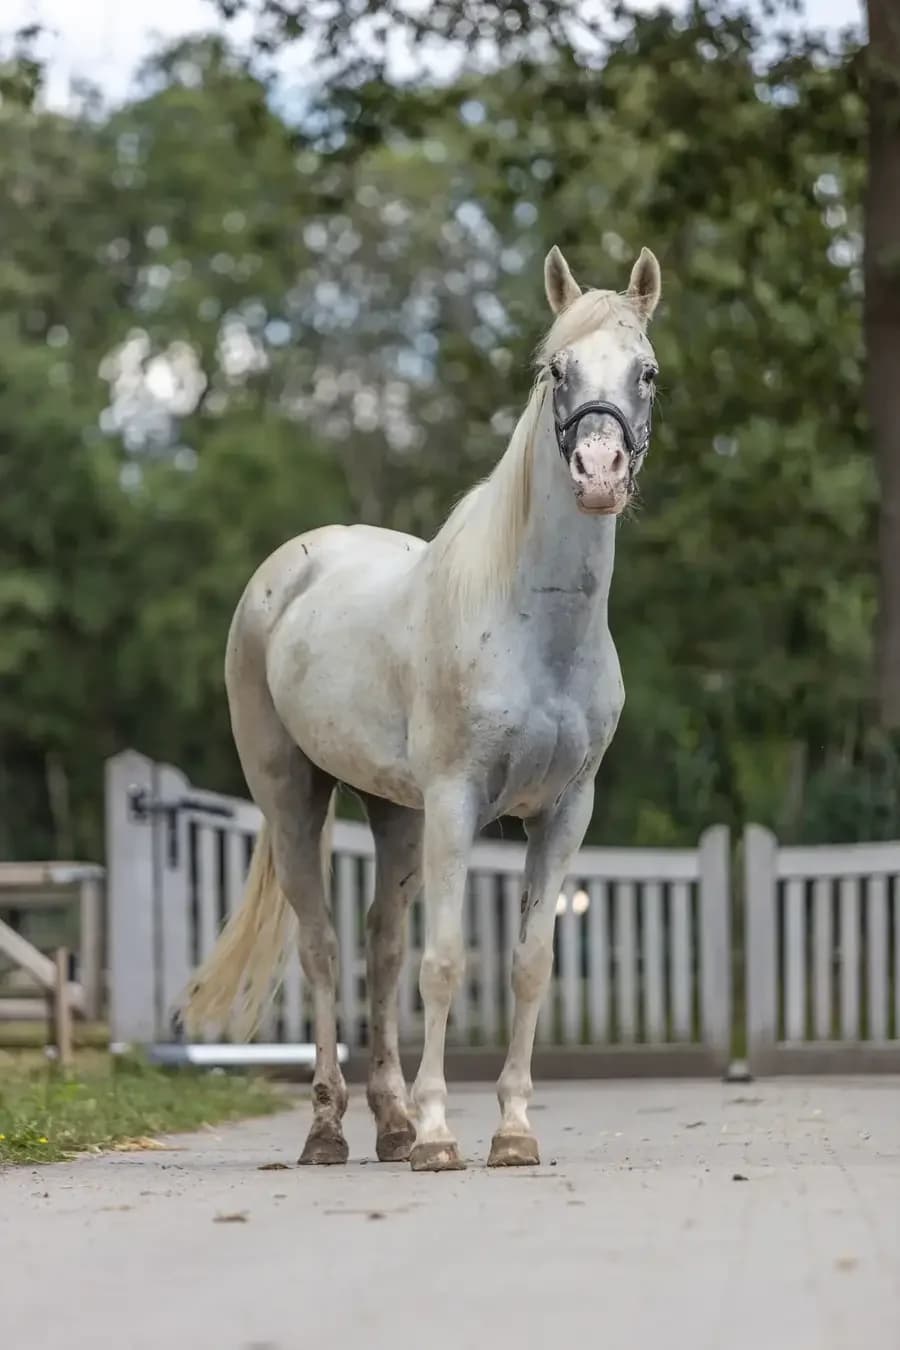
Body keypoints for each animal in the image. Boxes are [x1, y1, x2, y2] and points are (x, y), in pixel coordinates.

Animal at [185, 242, 662, 1171]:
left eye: (647, 373)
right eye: (556, 370)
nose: (599, 475)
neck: (534, 623)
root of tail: (287, 573)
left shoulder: (566, 812)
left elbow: (529, 963)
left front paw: (511, 1132)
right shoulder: (456, 802)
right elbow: (445, 962)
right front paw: (445, 1137)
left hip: (393, 812)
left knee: (380, 946)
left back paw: (392, 1124)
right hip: (294, 795)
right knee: (325, 947)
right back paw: (332, 1130)